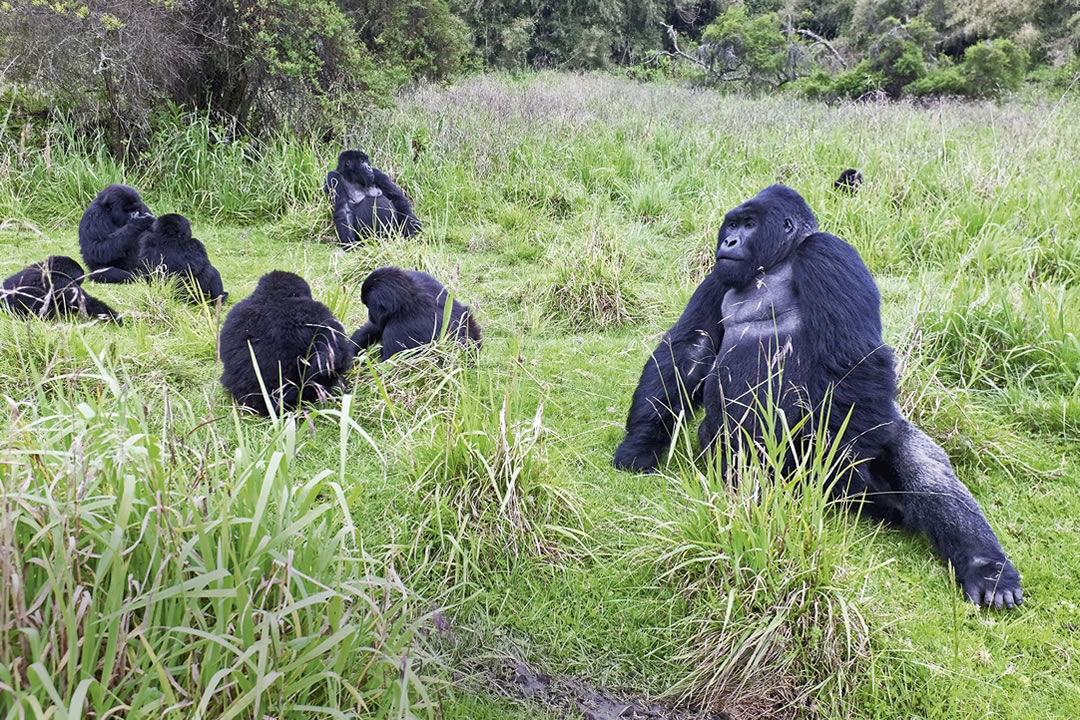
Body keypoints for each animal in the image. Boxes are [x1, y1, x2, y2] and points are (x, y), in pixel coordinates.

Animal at [617, 184, 1019, 608]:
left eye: (749, 224)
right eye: (733, 224)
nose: (728, 241)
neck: (780, 258)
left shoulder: (828, 252)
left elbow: (853, 360)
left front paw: (848, 475)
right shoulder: (719, 273)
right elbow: (689, 347)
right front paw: (641, 441)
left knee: (919, 465)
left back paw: (986, 569)